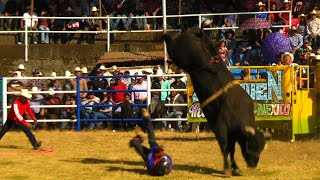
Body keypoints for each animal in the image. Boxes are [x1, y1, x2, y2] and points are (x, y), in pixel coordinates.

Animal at [165, 29, 268, 177]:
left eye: (261, 148)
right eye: (251, 144)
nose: (253, 164)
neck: (238, 110)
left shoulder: (233, 135)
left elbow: (232, 150)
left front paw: (235, 168)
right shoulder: (221, 129)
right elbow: (225, 148)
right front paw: (227, 168)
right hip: (178, 52)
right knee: (170, 41)